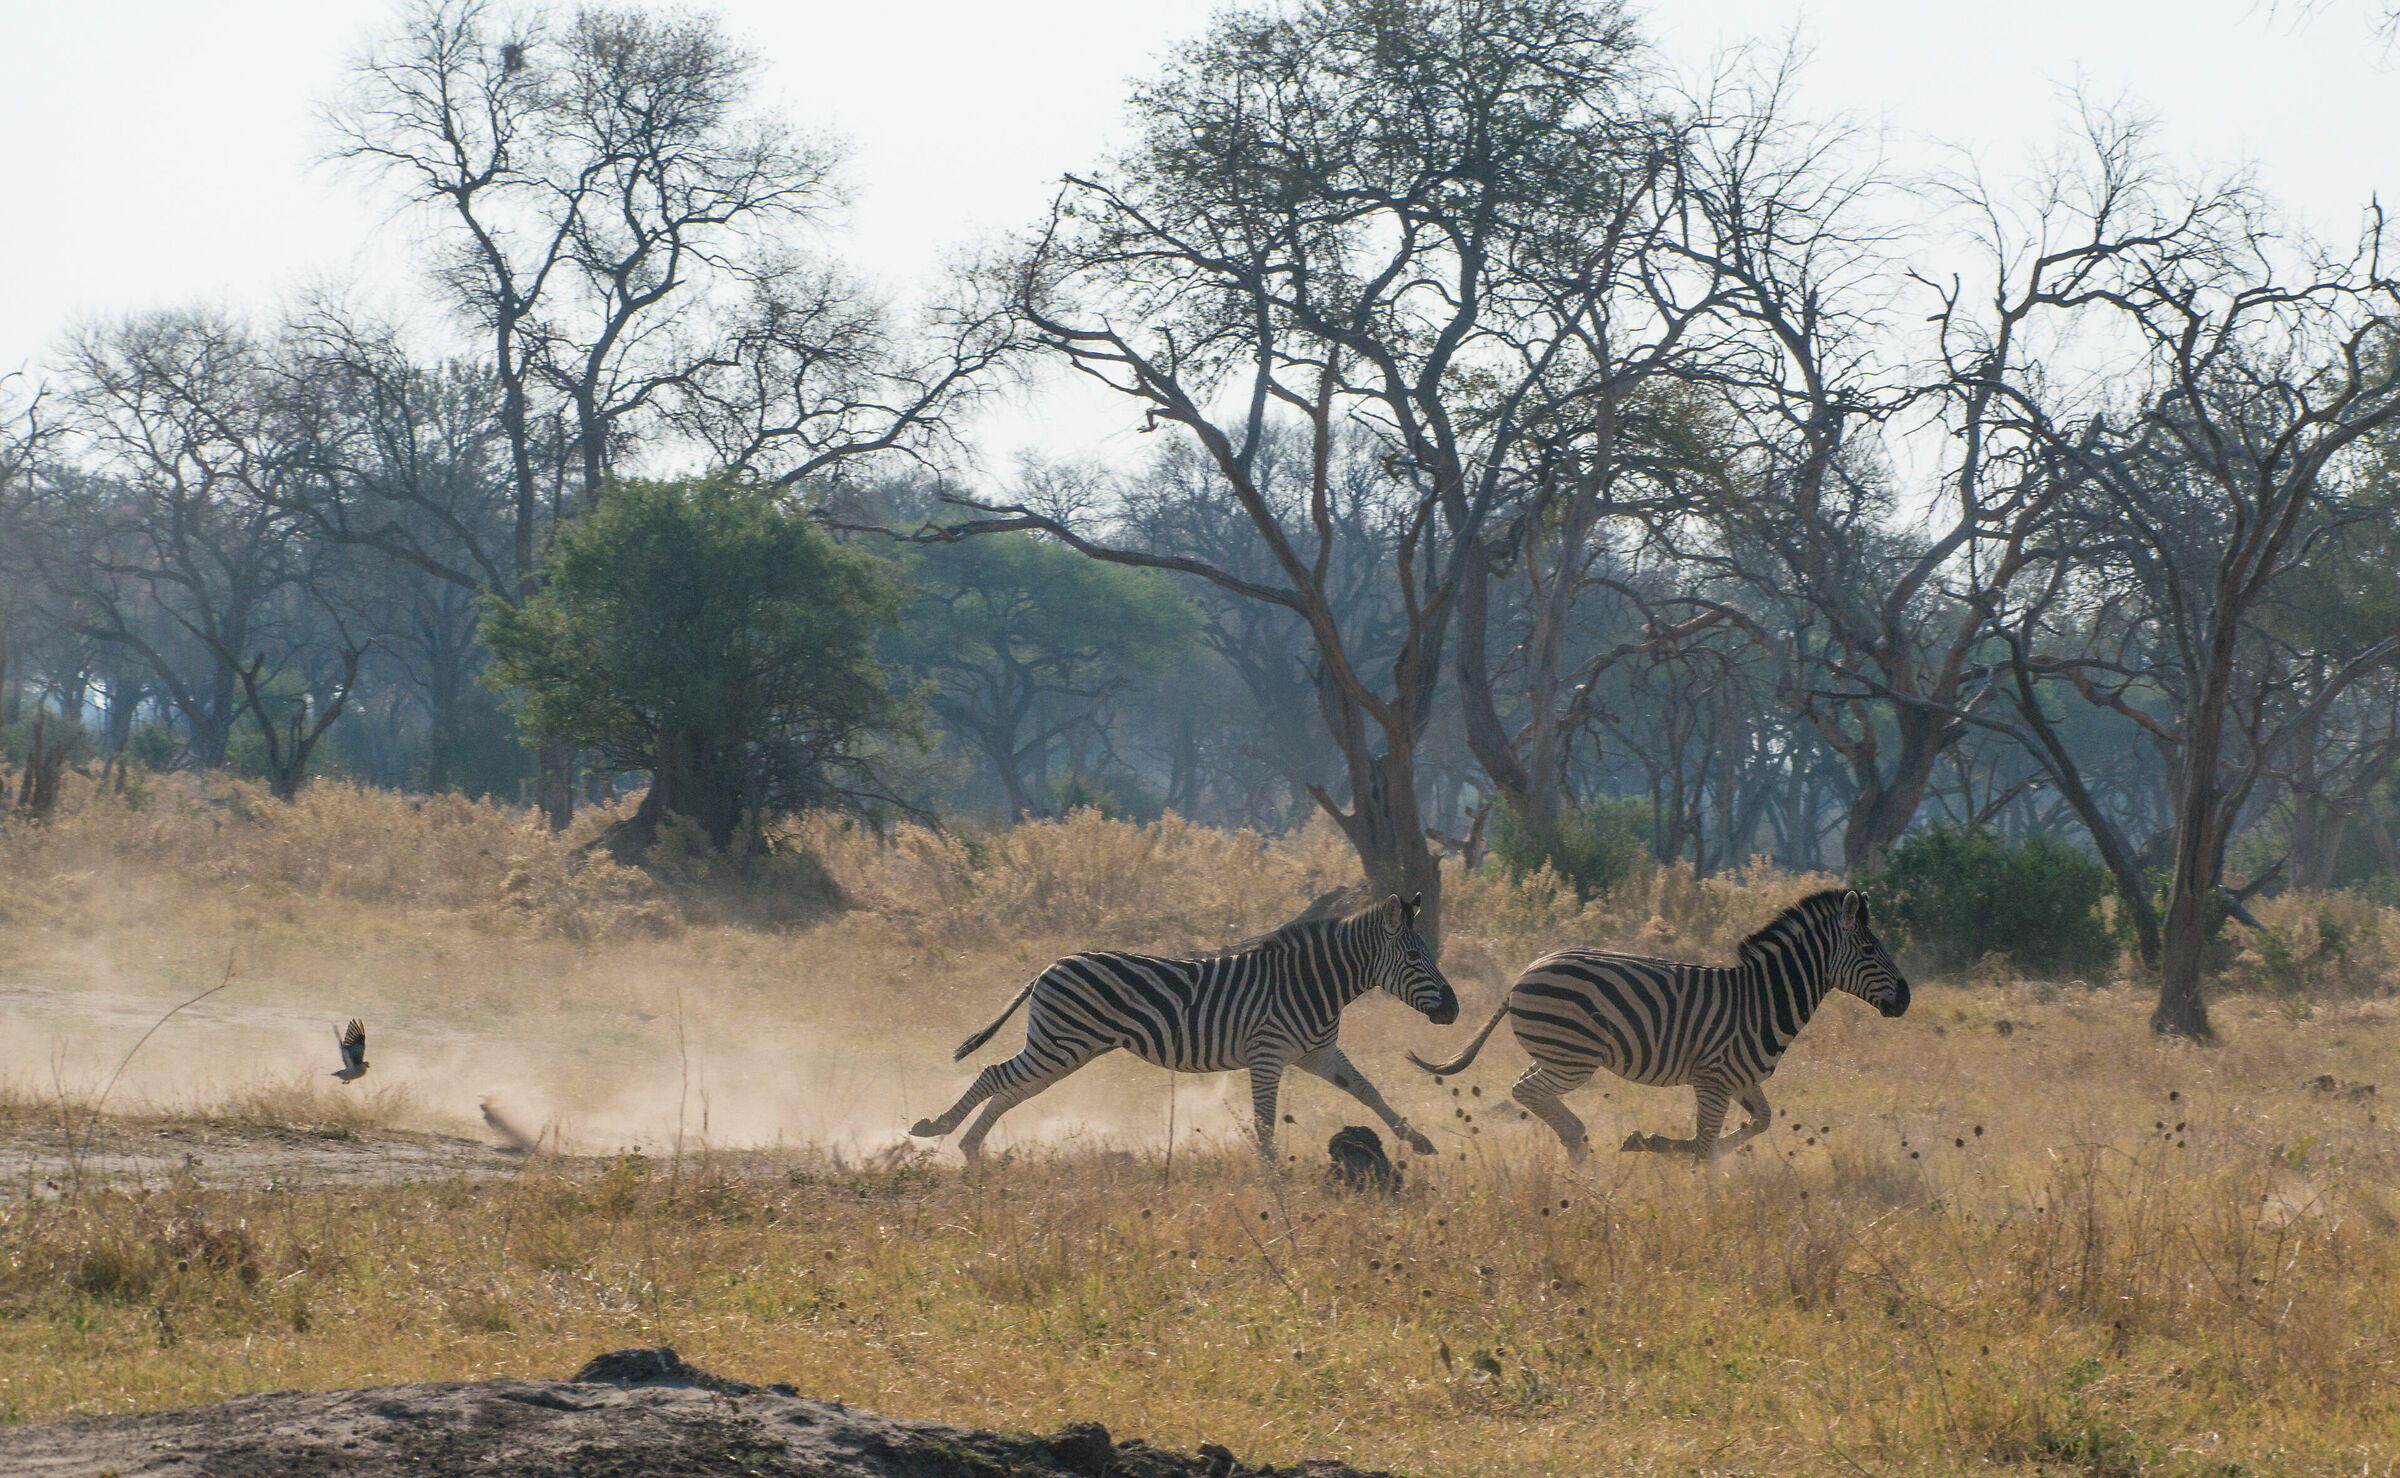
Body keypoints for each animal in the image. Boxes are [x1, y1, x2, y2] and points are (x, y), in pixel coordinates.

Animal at [909, 893, 1460, 1163]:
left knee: (1011, 1089)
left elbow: (1368, 1090)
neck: (1314, 982)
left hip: (1065, 1049)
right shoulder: (1267, 1054)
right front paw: (1272, 1174)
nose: (1454, 1011)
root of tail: (1050, 966)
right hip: (1061, 1044)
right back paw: (937, 1129)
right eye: (1415, 958)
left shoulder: (1318, 1053)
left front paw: (1417, 1140)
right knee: (995, 1075)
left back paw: (970, 1149)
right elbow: (1264, 1120)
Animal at [1409, 888, 1908, 1161]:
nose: (1905, 998)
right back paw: (1576, 1142)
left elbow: (1759, 1123)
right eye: (1869, 950)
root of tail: (1522, 976)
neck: (1765, 1000)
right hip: (1574, 1057)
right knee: (1525, 1090)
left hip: (1557, 1053)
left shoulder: (1741, 1080)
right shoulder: (1713, 1079)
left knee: (1530, 1088)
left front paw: (1665, 1147)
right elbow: (1704, 1144)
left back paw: (1575, 1142)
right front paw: (1685, 1175)